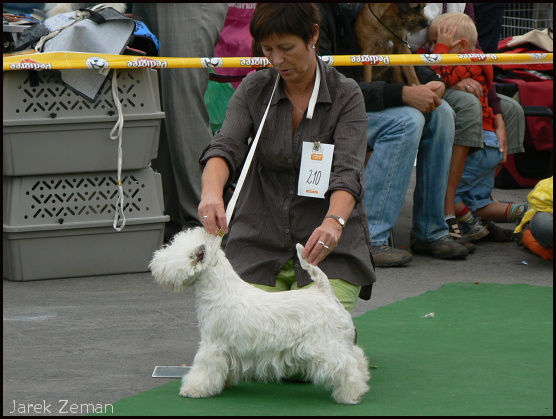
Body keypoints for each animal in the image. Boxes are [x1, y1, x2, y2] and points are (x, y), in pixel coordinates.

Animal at [150, 228, 372, 406]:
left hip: (326, 347)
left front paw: (194, 389)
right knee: (358, 357)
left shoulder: (212, 344)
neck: (219, 291)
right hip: (339, 342)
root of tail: (325, 291)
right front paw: (225, 383)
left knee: (346, 368)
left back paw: (350, 395)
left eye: (171, 252)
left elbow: (203, 369)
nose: (154, 261)